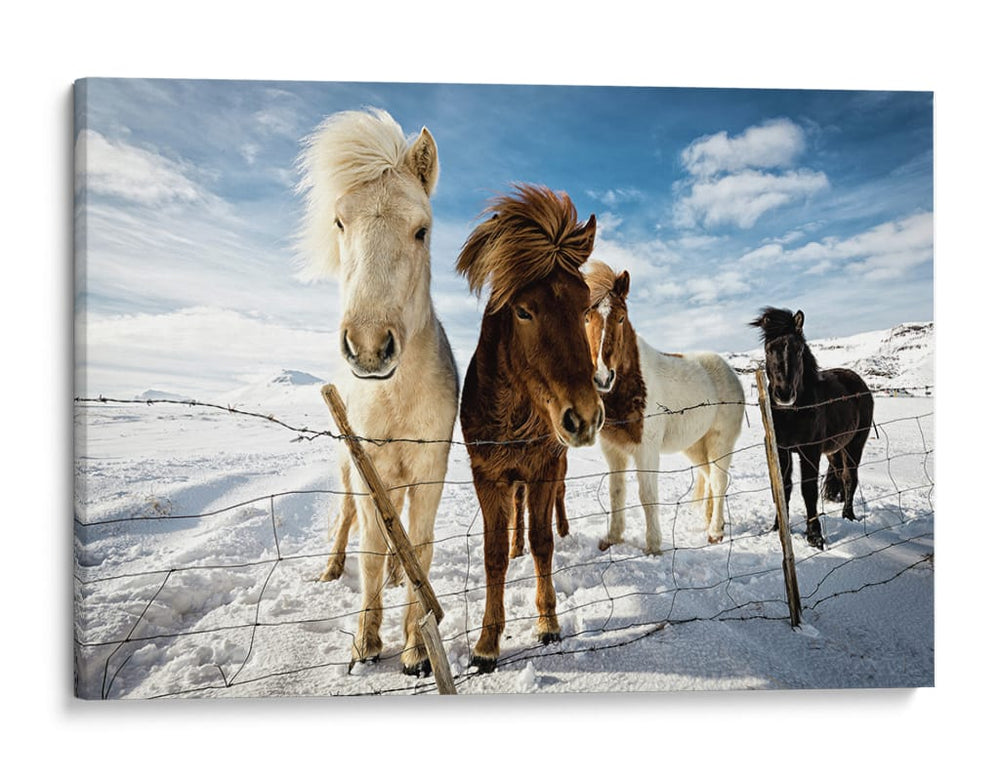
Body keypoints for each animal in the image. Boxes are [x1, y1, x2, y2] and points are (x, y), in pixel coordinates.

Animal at [297, 108, 459, 676]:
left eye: (421, 230)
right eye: (340, 223)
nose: (369, 347)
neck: (396, 398)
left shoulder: (430, 470)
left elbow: (420, 546)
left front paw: (416, 649)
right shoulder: (369, 467)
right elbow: (368, 548)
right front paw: (365, 644)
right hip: (351, 470)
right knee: (349, 519)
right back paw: (331, 570)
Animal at [457, 184, 604, 673]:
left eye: (585, 307)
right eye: (523, 311)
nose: (584, 416)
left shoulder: (542, 468)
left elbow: (543, 543)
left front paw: (547, 623)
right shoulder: (487, 477)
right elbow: (493, 556)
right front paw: (486, 643)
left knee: (556, 504)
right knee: (516, 517)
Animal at [584, 261, 745, 551]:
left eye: (621, 317)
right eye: (587, 317)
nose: (602, 377)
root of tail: (728, 370)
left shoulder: (646, 450)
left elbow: (647, 495)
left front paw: (653, 546)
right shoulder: (613, 450)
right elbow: (616, 492)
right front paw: (612, 538)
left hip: (720, 442)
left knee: (719, 480)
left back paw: (715, 531)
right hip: (696, 445)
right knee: (709, 478)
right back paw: (709, 523)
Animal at [750, 307, 874, 549]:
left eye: (798, 350)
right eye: (769, 350)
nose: (784, 394)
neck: (792, 413)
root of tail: (858, 382)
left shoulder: (810, 450)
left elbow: (808, 490)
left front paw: (815, 536)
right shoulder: (782, 450)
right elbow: (783, 488)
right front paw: (778, 527)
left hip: (854, 444)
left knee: (849, 477)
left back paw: (848, 515)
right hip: (835, 449)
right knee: (839, 473)